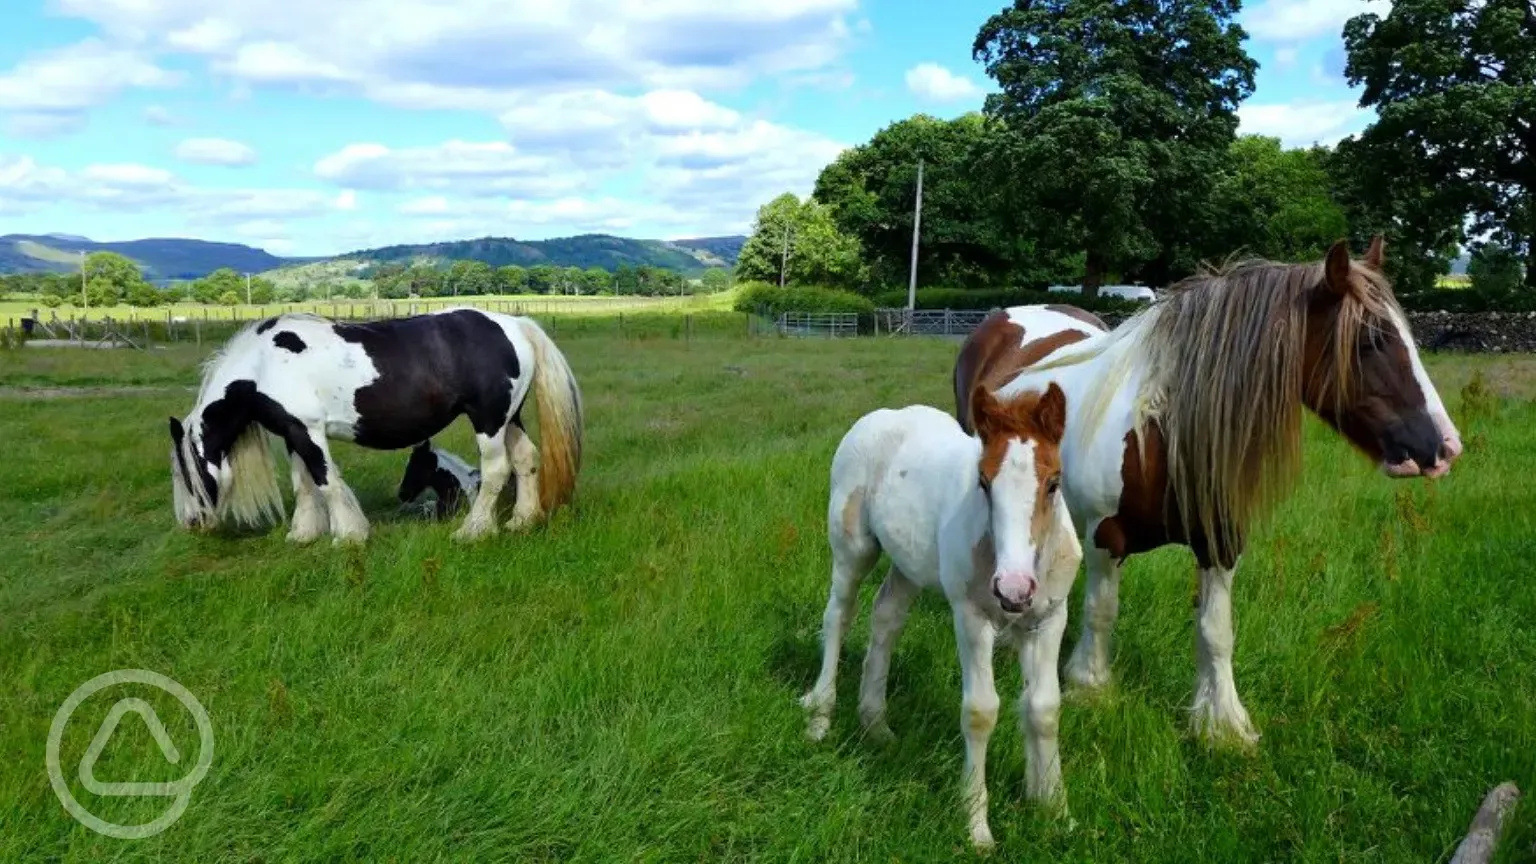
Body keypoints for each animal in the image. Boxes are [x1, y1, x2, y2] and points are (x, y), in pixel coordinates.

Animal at [169, 305, 580, 541]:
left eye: (186, 474)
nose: (191, 523)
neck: (262, 365)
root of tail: (516, 325)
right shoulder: (294, 432)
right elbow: (304, 485)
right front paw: (303, 534)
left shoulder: (308, 431)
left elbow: (327, 482)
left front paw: (348, 535)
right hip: (509, 418)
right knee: (526, 460)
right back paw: (522, 521)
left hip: (488, 420)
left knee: (496, 471)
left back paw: (473, 531)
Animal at [798, 382, 1087, 848]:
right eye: (983, 482)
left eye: (1054, 483)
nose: (1013, 588)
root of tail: (881, 417)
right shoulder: (970, 617)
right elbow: (981, 711)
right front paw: (976, 825)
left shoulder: (1049, 619)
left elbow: (1044, 708)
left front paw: (1055, 809)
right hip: (852, 548)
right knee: (838, 615)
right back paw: (821, 716)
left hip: (909, 564)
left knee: (886, 617)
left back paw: (875, 726)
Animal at [946, 236, 1462, 747]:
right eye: (1371, 340)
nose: (1444, 447)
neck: (1159, 430)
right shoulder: (1104, 536)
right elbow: (1101, 611)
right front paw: (1090, 687)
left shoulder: (1220, 541)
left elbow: (1216, 631)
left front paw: (1221, 724)